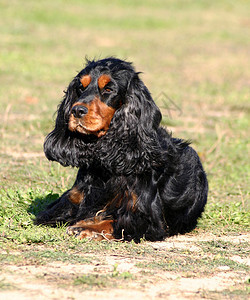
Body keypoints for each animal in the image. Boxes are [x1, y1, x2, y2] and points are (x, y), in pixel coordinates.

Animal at [36, 58, 208, 241]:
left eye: (108, 89)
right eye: (81, 87)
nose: (76, 110)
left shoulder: (148, 218)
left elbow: (115, 222)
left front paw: (86, 227)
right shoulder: (69, 200)